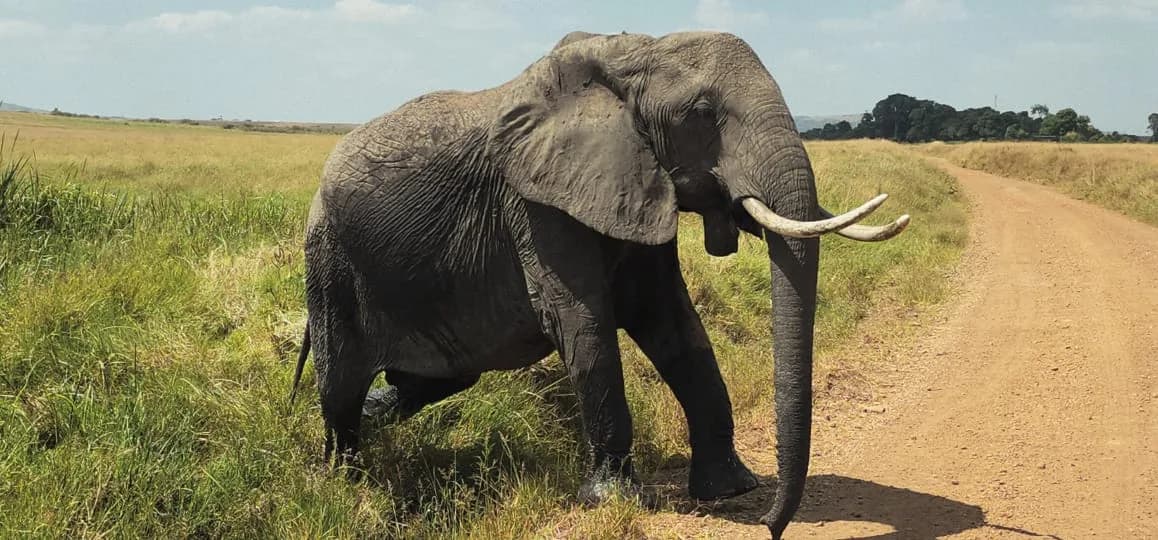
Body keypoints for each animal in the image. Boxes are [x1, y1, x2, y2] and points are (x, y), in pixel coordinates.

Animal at [290, 30, 909, 539]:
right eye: (702, 113)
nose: (773, 527)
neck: (629, 57)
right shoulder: (536, 202)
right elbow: (579, 322)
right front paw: (614, 499)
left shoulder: (634, 182)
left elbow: (672, 323)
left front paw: (731, 488)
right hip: (331, 265)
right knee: (341, 386)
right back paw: (348, 487)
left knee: (433, 380)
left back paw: (374, 429)